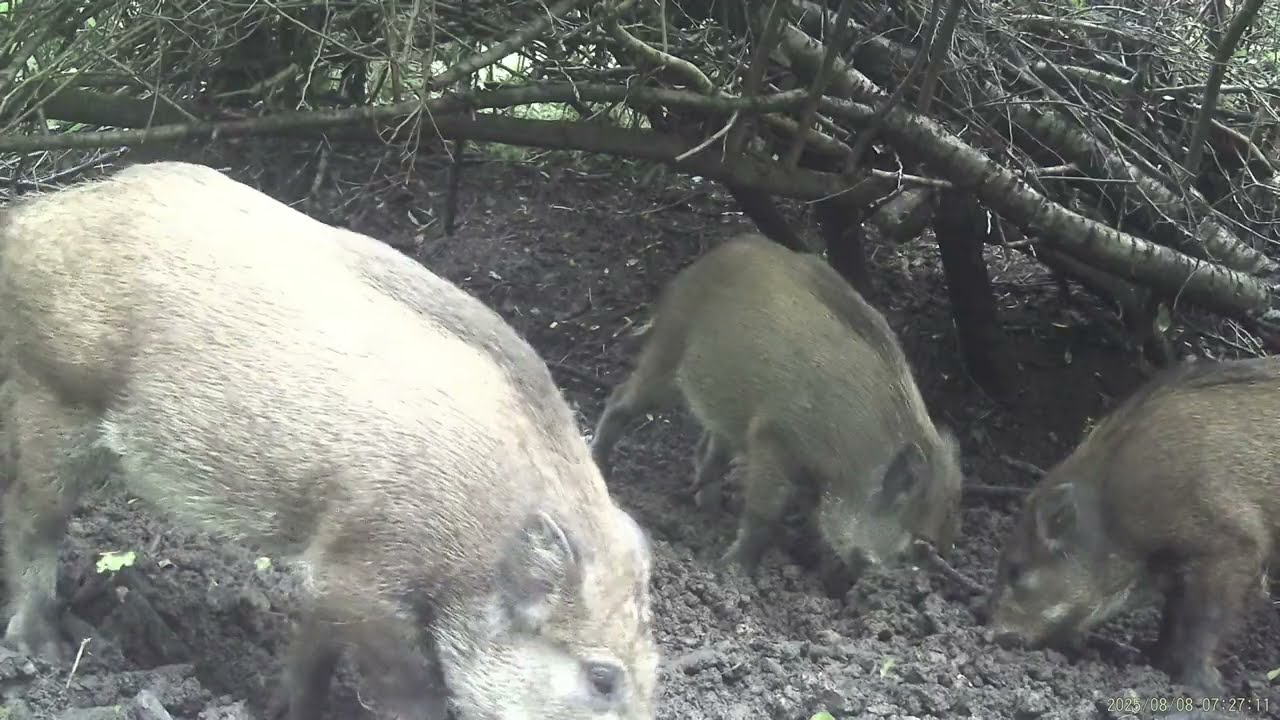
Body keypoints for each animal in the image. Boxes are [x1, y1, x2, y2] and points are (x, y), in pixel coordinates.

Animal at [0, 161, 659, 720]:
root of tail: (26, 219)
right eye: (602, 677)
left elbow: (312, 651)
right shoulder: (366, 574)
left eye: (654, 671)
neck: (481, 537)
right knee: (35, 522)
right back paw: (43, 649)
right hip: (54, 396)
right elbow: (409, 688)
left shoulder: (331, 564)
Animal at [590, 233, 963, 589]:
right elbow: (763, 515)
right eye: (914, 550)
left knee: (709, 450)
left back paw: (708, 511)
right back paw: (600, 466)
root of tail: (704, 261)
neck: (857, 459)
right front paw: (734, 570)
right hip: (667, 357)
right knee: (621, 400)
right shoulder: (775, 438)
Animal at [984, 355, 1280, 695]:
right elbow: (1171, 619)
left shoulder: (1231, 547)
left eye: (1016, 570)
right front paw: (1156, 660)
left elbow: (1203, 623)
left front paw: (1204, 688)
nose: (988, 634)